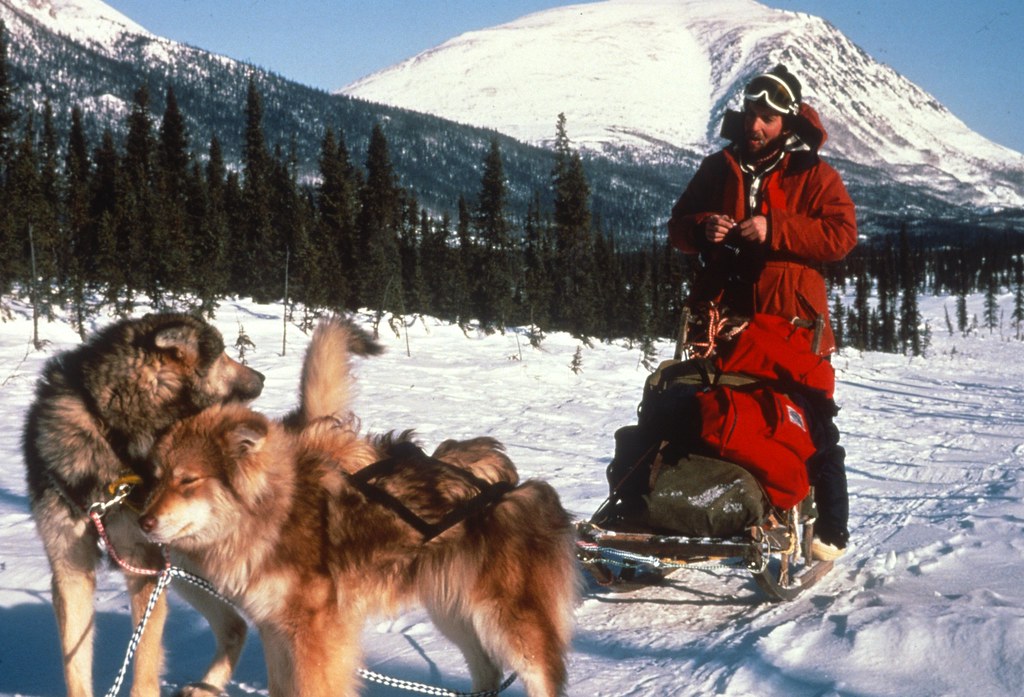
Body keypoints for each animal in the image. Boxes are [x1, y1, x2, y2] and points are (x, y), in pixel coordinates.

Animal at [22, 313, 266, 697]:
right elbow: (75, 665)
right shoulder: (70, 567)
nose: (262, 377)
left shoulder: (143, 564)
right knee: (234, 625)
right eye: (224, 354)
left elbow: (145, 659)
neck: (112, 433)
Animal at [139, 316, 580, 697]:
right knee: (486, 673)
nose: (143, 522)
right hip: (454, 614)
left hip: (509, 626)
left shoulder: (315, 634)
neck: (274, 513)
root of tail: (512, 485)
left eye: (188, 480)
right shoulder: (276, 630)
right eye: (157, 476)